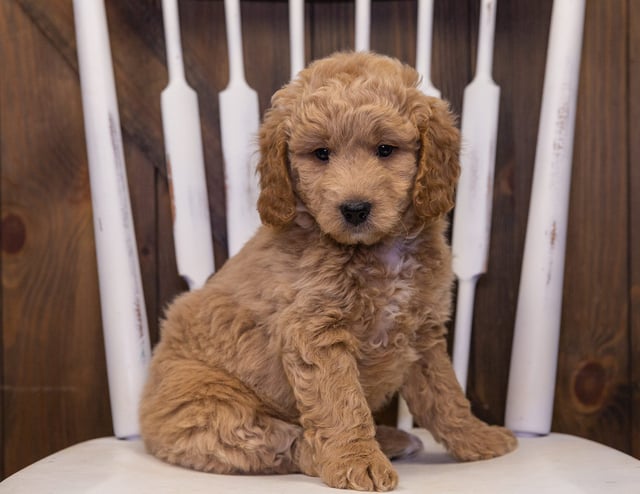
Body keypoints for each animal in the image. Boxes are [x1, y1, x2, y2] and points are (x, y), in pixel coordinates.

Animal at [140, 50, 516, 490]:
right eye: (321, 154)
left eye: (385, 149)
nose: (354, 209)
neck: (377, 250)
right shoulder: (316, 333)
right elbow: (341, 404)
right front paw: (358, 462)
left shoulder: (421, 334)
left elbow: (446, 394)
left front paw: (477, 438)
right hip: (213, 410)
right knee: (284, 444)